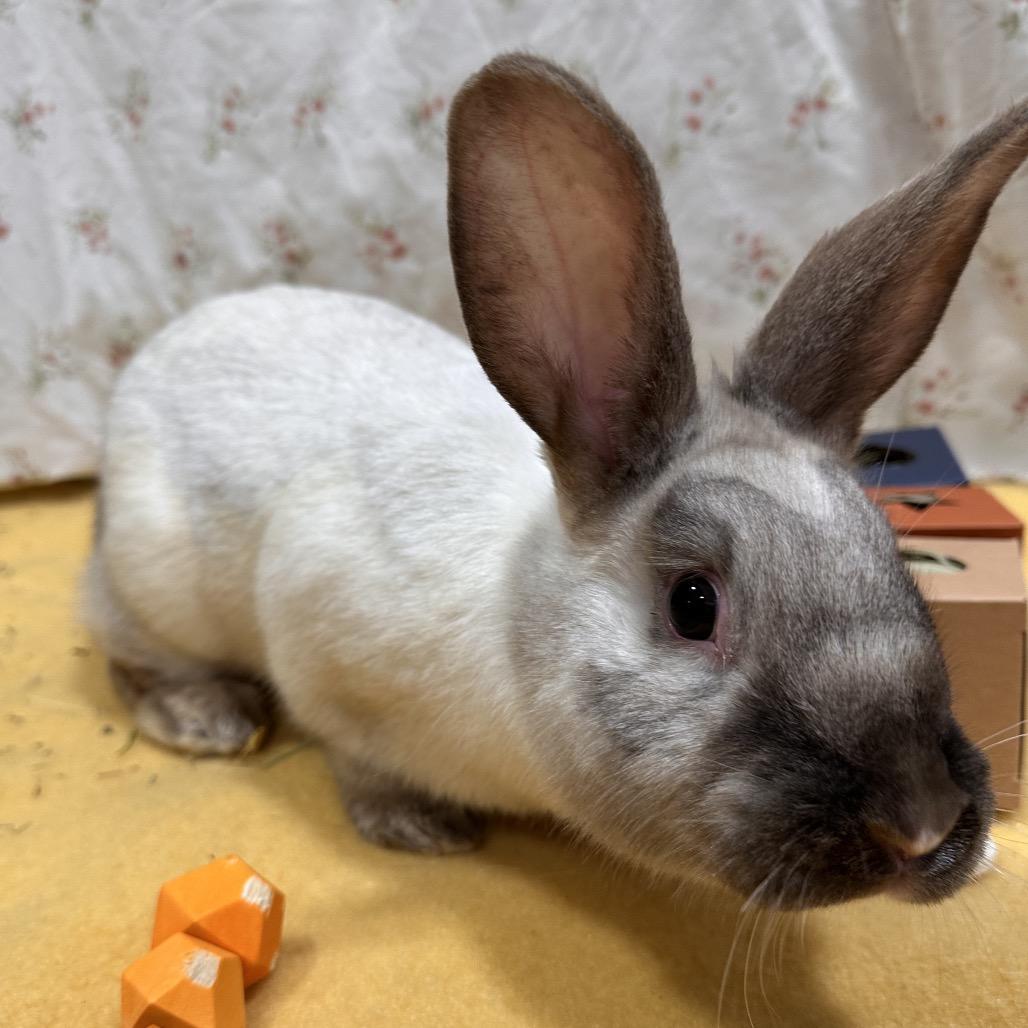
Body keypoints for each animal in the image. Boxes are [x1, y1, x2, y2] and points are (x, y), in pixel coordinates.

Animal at [83, 53, 1028, 909]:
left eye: (897, 561)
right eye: (694, 604)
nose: (924, 822)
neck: (514, 622)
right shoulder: (317, 632)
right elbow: (355, 759)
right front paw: (417, 825)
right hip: (157, 582)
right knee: (119, 646)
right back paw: (208, 717)